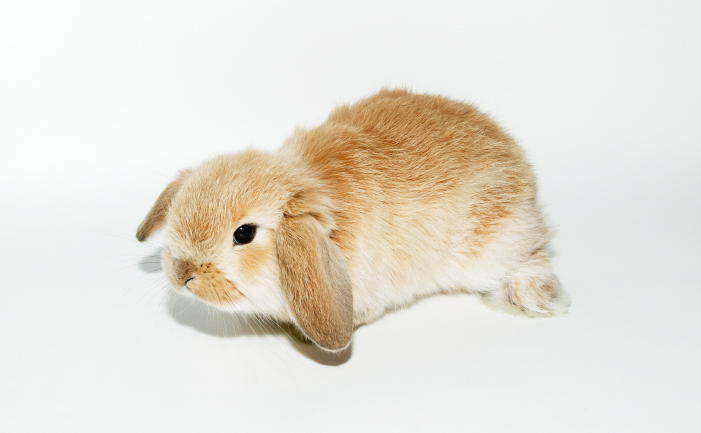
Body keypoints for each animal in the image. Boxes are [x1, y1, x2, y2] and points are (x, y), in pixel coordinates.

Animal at [135, 88, 568, 352]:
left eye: (244, 234)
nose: (183, 274)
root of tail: (519, 164)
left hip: (492, 247)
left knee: (533, 253)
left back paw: (538, 298)